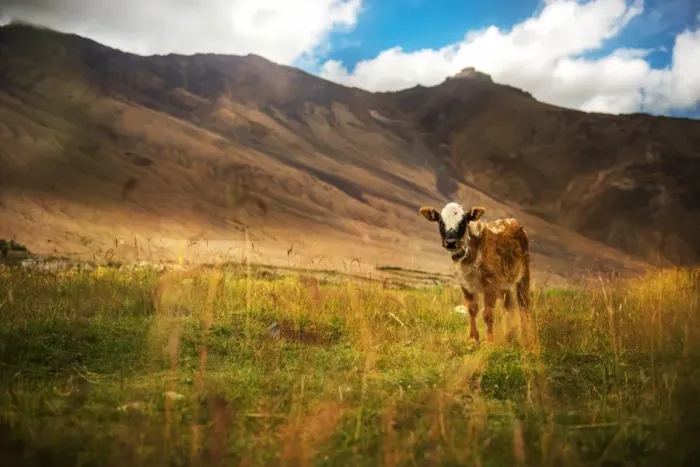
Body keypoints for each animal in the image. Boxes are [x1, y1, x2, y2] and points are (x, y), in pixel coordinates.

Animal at [419, 202, 531, 344]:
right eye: (440, 221)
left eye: (463, 222)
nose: (451, 242)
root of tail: (513, 222)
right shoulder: (465, 284)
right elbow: (472, 309)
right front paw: (473, 339)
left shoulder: (490, 284)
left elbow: (487, 313)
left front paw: (490, 341)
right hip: (505, 284)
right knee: (508, 307)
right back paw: (509, 336)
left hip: (523, 276)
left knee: (523, 305)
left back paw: (525, 335)